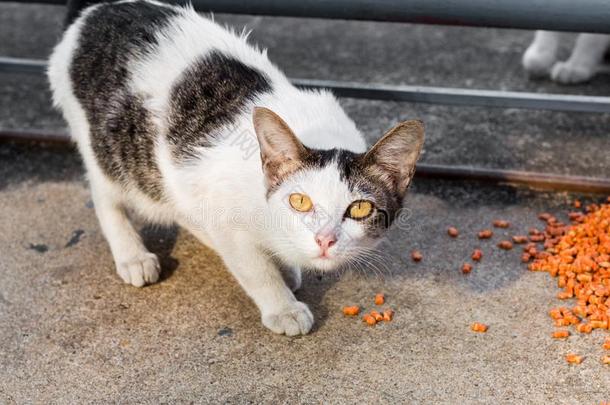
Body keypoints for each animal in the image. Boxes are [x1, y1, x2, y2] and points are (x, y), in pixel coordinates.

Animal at [47, 0, 422, 334]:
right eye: (299, 201)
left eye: (359, 208)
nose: (324, 240)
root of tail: (93, 13)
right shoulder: (225, 212)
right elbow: (253, 267)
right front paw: (282, 306)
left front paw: (286, 266)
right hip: (104, 145)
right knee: (106, 191)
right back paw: (131, 255)